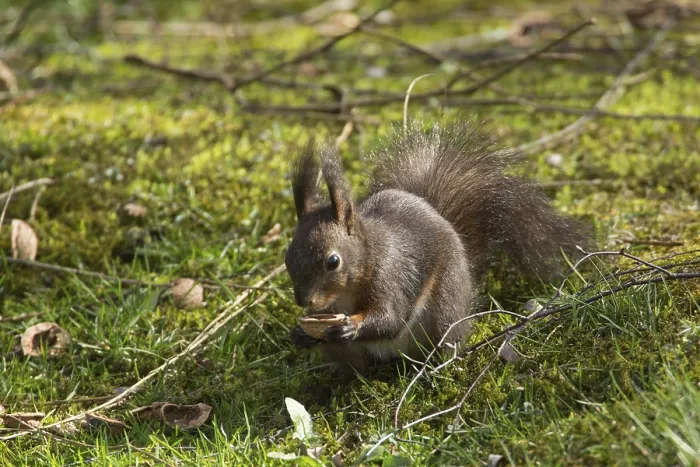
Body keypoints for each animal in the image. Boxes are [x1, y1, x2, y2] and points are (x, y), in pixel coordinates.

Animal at [284, 120, 591, 375]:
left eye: (333, 261)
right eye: (287, 258)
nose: (303, 301)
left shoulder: (391, 277)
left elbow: (391, 318)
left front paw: (351, 325)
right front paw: (300, 334)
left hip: (444, 309)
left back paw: (431, 370)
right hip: (349, 353)